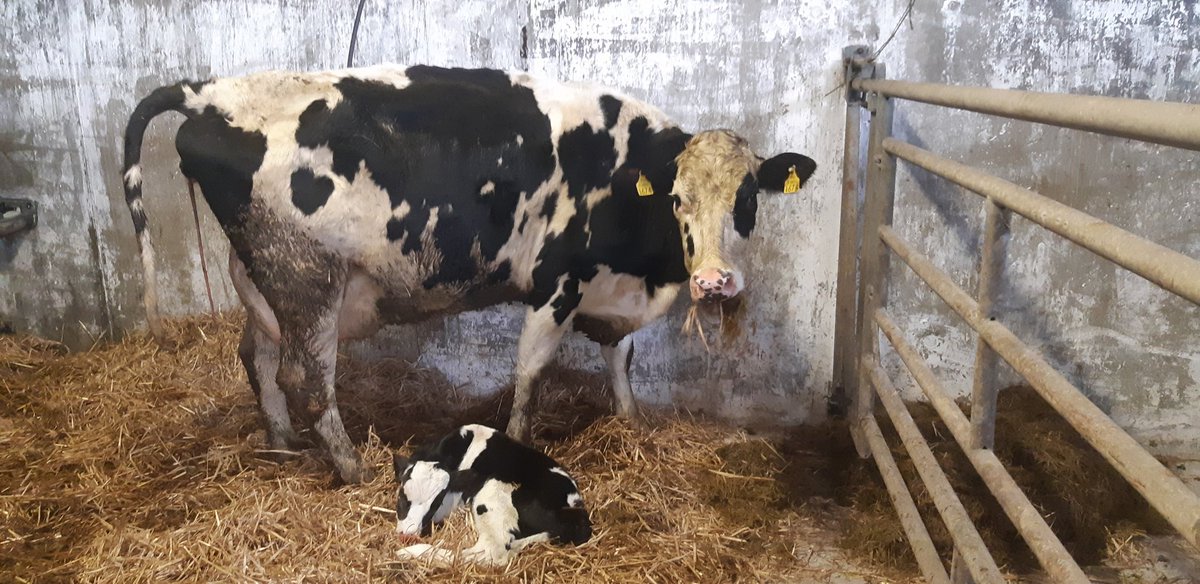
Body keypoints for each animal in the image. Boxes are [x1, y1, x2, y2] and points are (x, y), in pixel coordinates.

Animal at [122, 65, 817, 484]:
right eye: (678, 198)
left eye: (748, 198)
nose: (715, 282)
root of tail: (209, 92)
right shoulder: (556, 282)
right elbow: (531, 374)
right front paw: (521, 447)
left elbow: (621, 360)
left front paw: (629, 424)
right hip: (305, 273)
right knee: (306, 377)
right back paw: (354, 470)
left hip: (260, 277)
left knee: (258, 358)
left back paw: (282, 445)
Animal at [392, 424, 591, 565]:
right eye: (402, 495)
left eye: (436, 502)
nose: (407, 535)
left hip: (493, 495)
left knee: (486, 553)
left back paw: (411, 553)